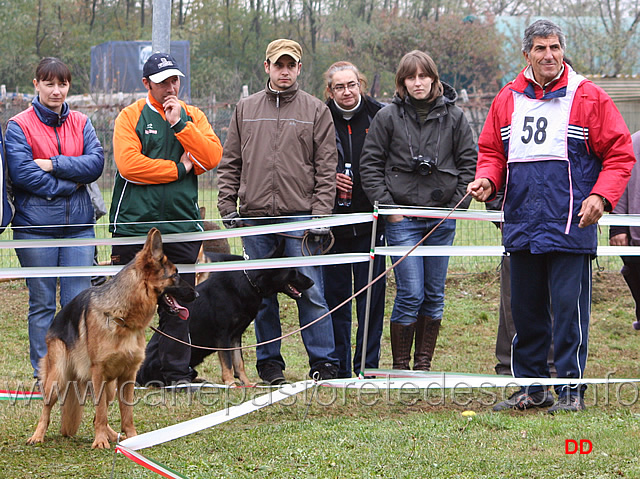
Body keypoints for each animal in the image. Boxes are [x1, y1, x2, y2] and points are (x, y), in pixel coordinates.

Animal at [26, 229, 195, 450]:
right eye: (175, 274)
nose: (197, 293)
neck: (122, 317)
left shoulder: (128, 376)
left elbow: (126, 414)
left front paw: (132, 438)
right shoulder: (98, 372)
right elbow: (100, 412)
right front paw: (100, 441)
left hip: (110, 388)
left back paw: (115, 436)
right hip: (58, 378)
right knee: (47, 408)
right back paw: (38, 435)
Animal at [189, 244, 314, 386]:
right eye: (293, 270)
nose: (312, 282)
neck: (250, 282)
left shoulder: (235, 337)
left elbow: (239, 363)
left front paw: (247, 384)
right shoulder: (223, 336)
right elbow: (228, 364)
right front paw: (230, 383)